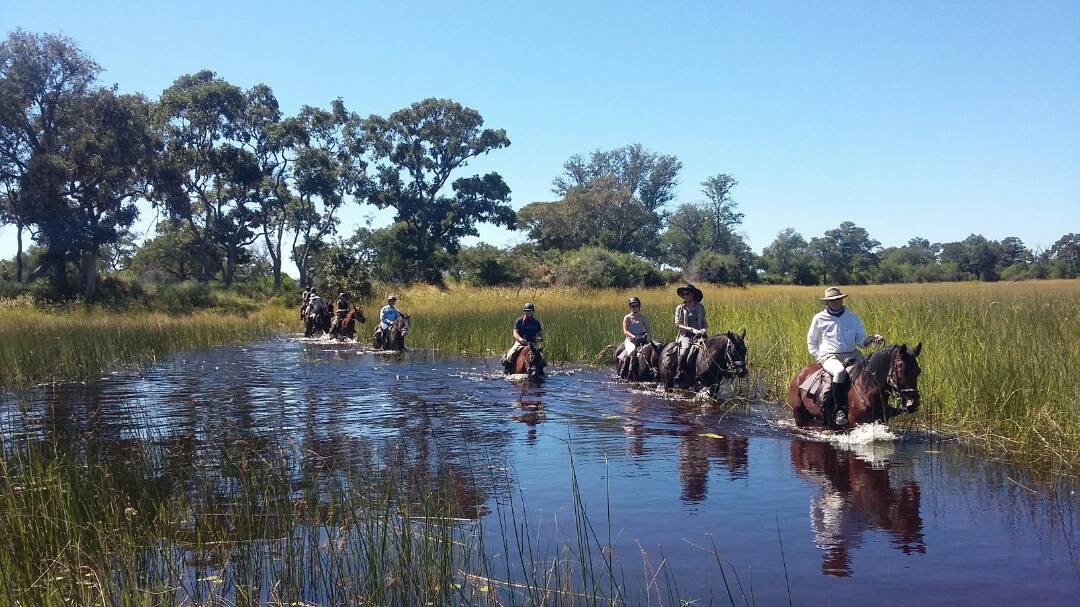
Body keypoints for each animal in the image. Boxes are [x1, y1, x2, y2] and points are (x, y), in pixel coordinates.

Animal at [790, 343, 924, 427]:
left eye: (918, 371)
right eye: (901, 369)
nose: (913, 404)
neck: (867, 391)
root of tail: (799, 374)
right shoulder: (856, 423)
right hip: (799, 416)